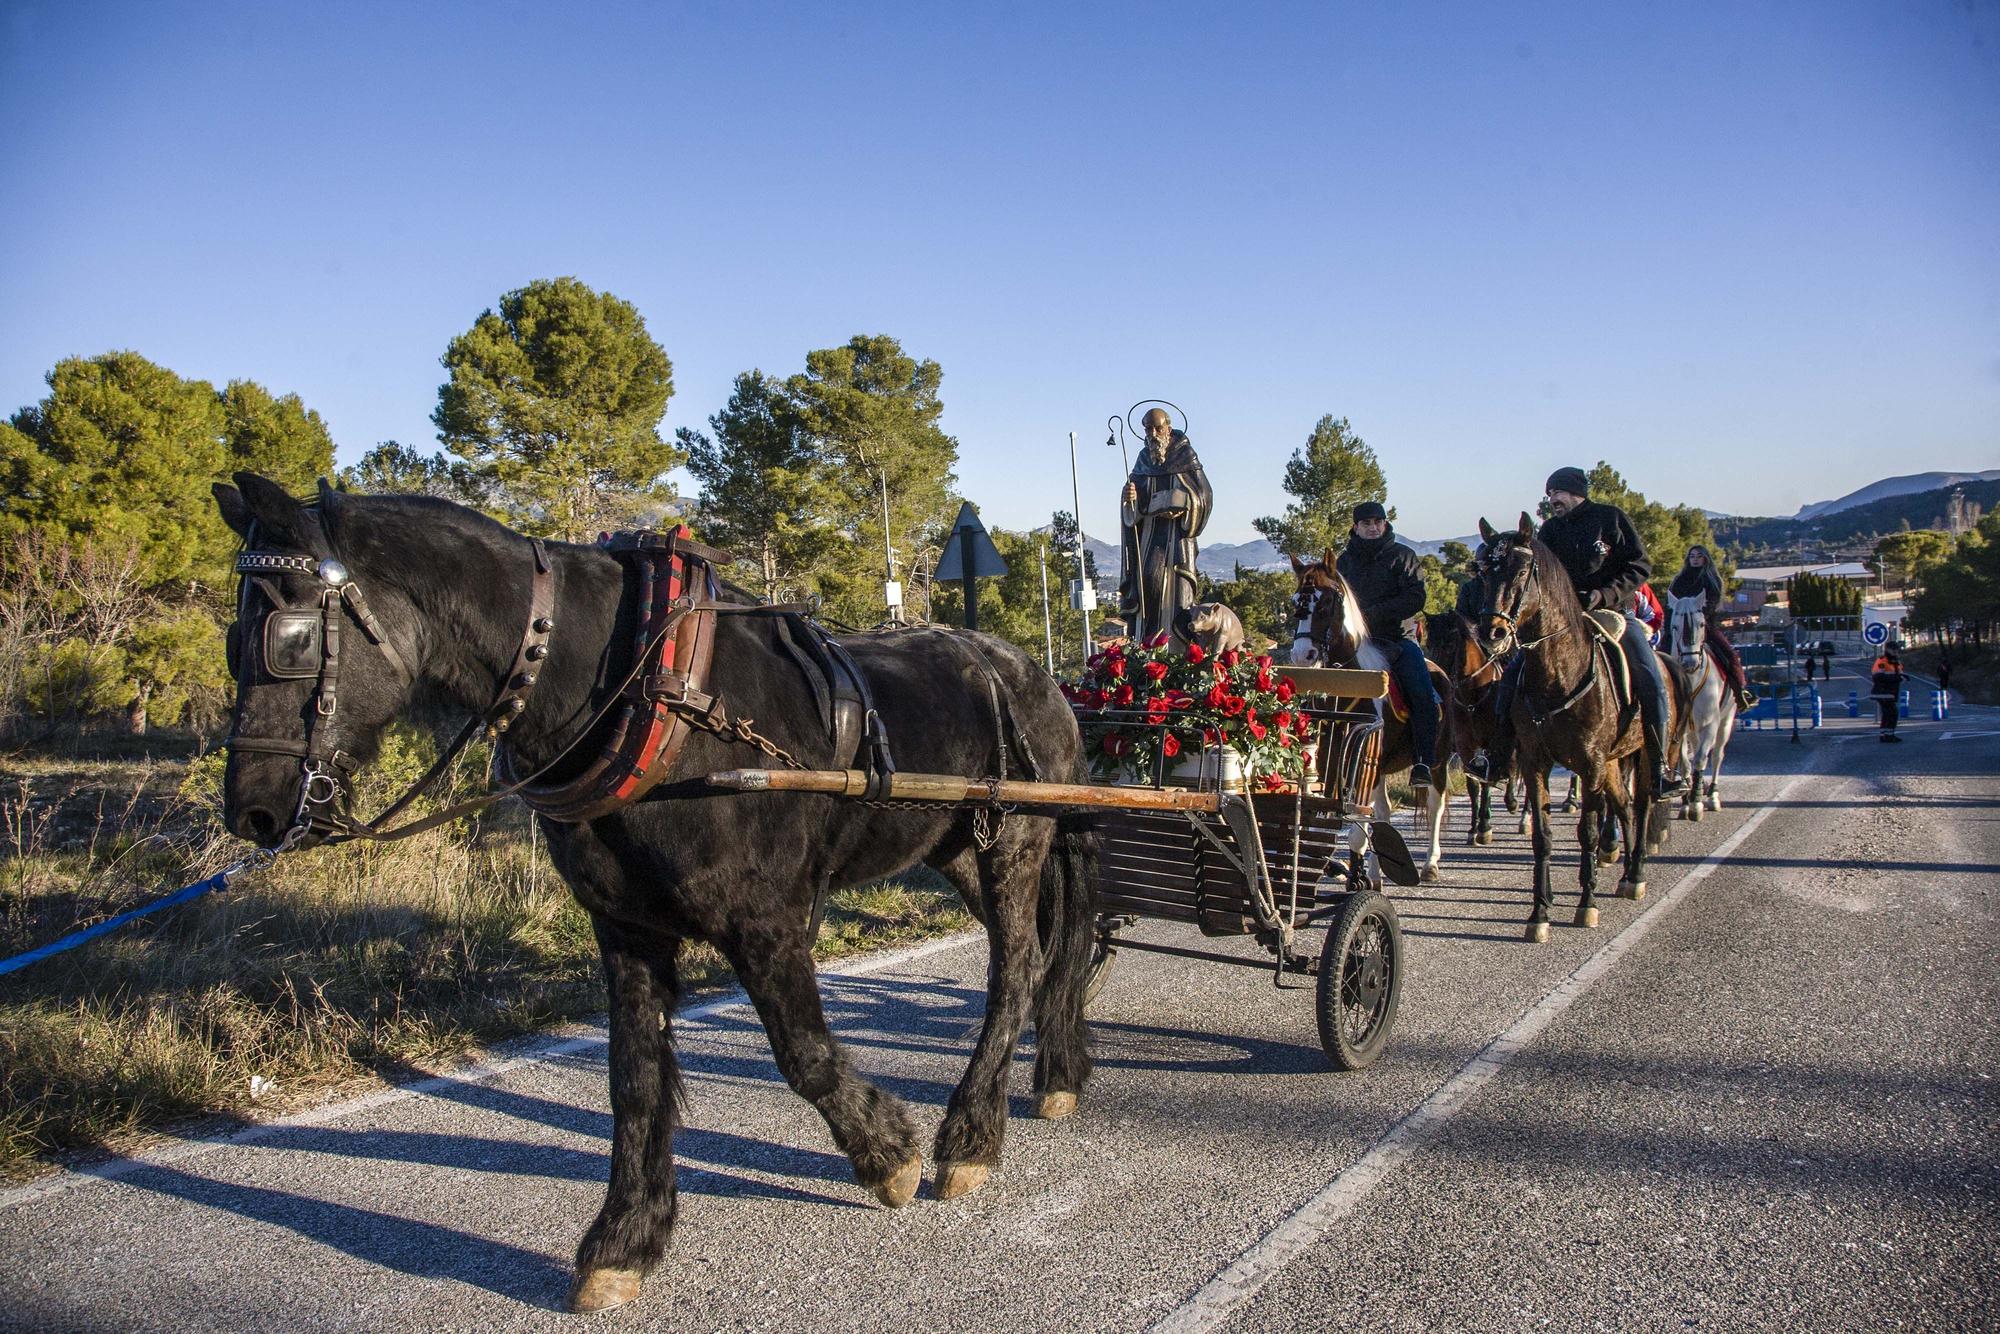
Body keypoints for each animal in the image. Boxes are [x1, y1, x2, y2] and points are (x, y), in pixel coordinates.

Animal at [211, 474, 1104, 1312]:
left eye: (288, 637)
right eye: (229, 641)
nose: (254, 811)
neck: (642, 693)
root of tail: (1033, 674)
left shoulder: (767, 922)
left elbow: (805, 1056)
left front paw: (888, 1155)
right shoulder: (627, 926)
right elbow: (634, 1079)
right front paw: (624, 1239)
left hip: (1013, 842)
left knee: (1018, 970)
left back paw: (971, 1135)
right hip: (958, 850)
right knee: (1045, 957)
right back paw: (1054, 1073)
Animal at [1280, 552, 1456, 888]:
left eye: (1326, 602)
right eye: (1296, 602)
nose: (1302, 655)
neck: (1350, 682)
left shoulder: (1362, 764)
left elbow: (1357, 826)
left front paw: (1355, 879)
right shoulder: (1333, 762)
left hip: (1437, 760)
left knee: (1435, 806)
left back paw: (1430, 863)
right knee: (1383, 814)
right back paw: (1376, 873)